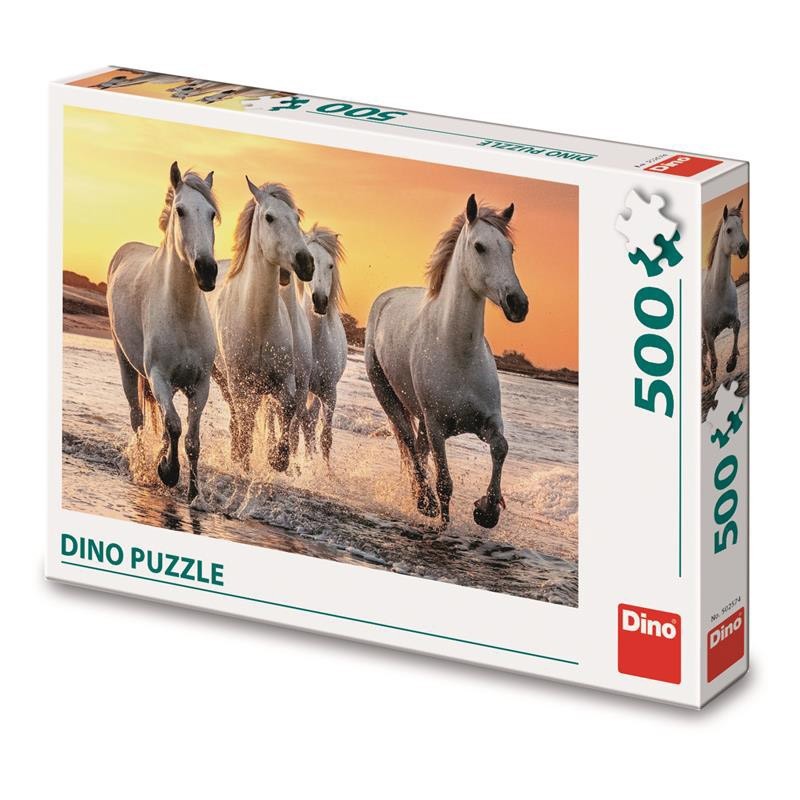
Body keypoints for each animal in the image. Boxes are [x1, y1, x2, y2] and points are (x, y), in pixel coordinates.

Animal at [107, 162, 220, 502]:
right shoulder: (159, 377)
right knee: (138, 419)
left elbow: (192, 439)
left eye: (211, 214)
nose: (207, 270)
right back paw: (144, 466)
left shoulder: (200, 385)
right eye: (180, 211)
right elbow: (174, 425)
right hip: (127, 366)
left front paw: (194, 494)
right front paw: (167, 472)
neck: (182, 314)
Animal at [210, 177, 314, 473]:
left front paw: (278, 458)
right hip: (222, 377)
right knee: (237, 414)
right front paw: (243, 458)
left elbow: (288, 408)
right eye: (269, 217)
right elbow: (245, 420)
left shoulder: (284, 378)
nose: (306, 263)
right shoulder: (239, 381)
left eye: (296, 218)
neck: (257, 321)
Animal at [365, 194, 528, 530]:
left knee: (417, 448)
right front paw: (441, 522)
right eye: (479, 246)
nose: (518, 304)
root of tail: (385, 298)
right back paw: (423, 501)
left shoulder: (488, 421)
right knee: (409, 445)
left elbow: (501, 448)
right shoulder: (437, 426)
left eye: (510, 249)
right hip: (388, 397)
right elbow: (445, 484)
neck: (458, 353)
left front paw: (487, 510)